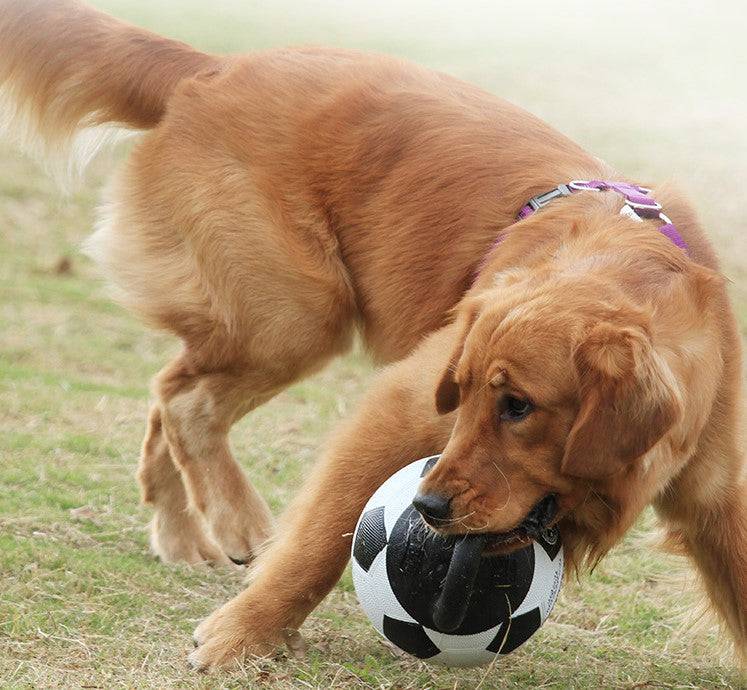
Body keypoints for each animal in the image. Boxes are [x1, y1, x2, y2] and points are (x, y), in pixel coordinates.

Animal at [1, 0, 745, 671]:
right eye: (464, 393)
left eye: (519, 407)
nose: (428, 505)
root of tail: (210, 68)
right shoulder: (402, 409)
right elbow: (322, 541)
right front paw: (243, 634)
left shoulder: (718, 491)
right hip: (296, 314)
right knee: (187, 400)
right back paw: (235, 521)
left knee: (169, 389)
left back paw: (180, 531)